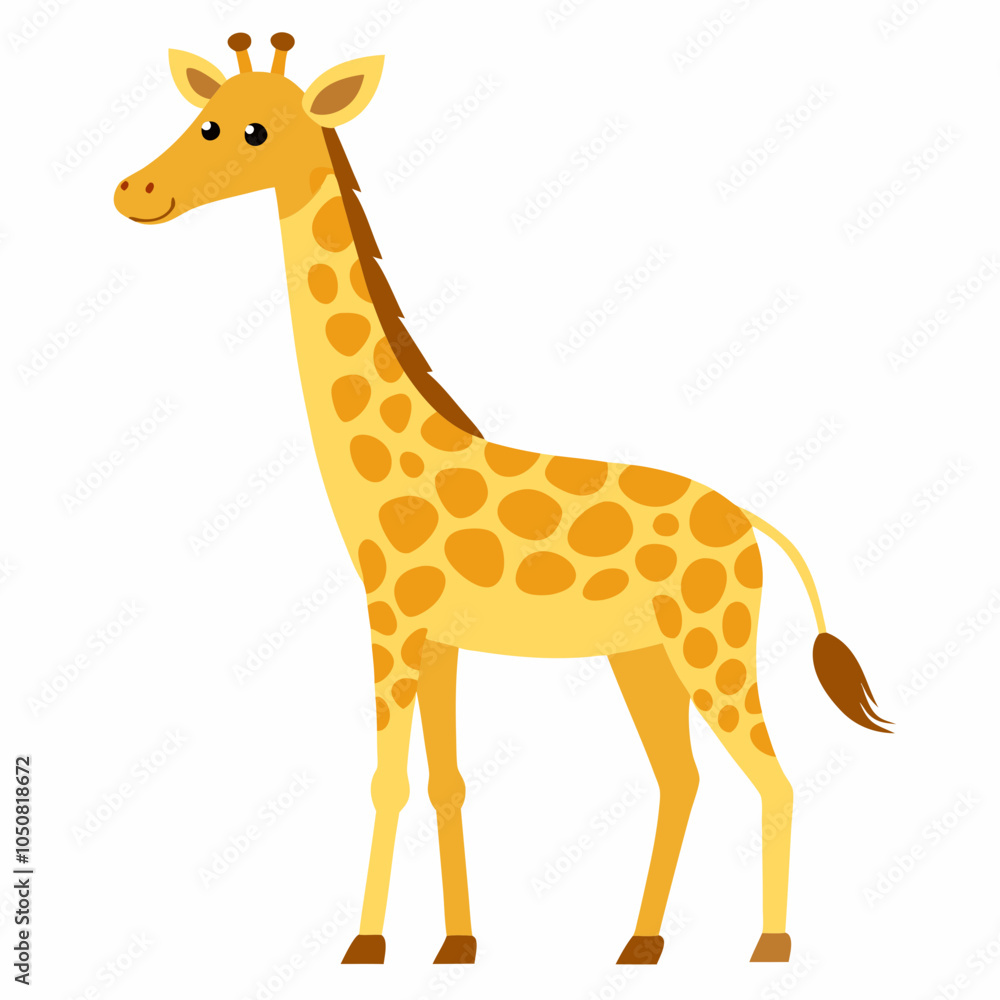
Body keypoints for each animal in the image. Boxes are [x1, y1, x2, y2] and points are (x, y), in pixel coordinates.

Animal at [114, 33, 891, 967]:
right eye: (203, 113)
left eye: (248, 130)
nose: (134, 192)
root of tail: (752, 523)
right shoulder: (440, 639)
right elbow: (445, 781)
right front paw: (457, 944)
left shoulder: (392, 617)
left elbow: (388, 779)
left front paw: (364, 945)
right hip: (643, 656)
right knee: (681, 775)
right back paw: (639, 944)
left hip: (714, 645)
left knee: (773, 775)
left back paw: (769, 947)